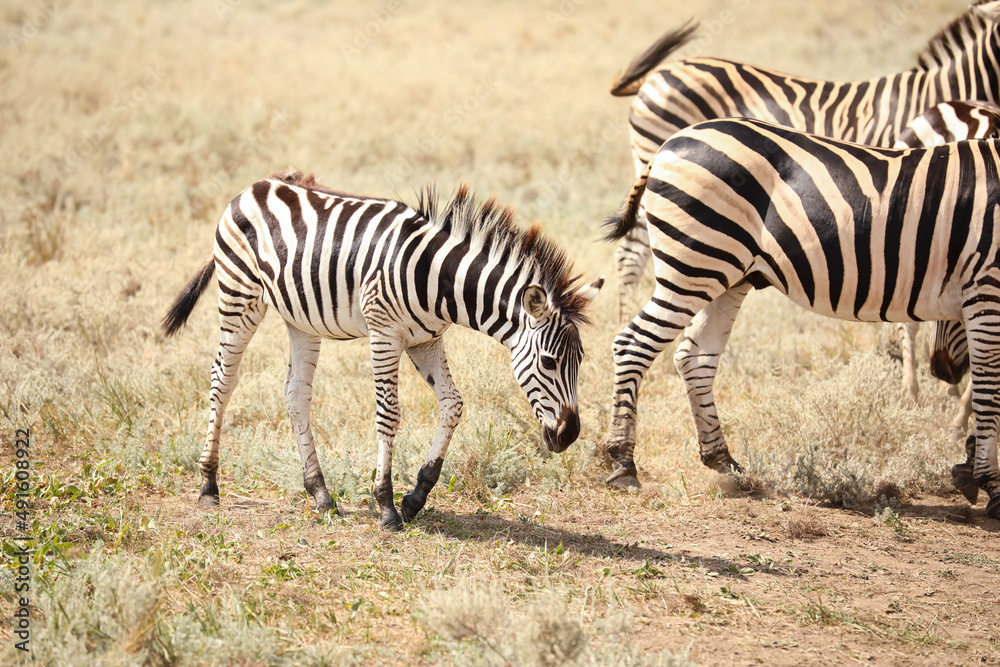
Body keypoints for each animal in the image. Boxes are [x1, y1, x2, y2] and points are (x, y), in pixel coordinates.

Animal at [164, 171, 600, 532]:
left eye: (580, 362)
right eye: (549, 362)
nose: (570, 435)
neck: (439, 281)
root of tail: (256, 184)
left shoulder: (426, 340)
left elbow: (453, 404)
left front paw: (415, 498)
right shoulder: (384, 334)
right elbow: (389, 415)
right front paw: (387, 506)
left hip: (300, 319)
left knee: (296, 395)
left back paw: (320, 493)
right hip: (239, 295)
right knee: (222, 381)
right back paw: (209, 485)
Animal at [600, 117, 1000, 520]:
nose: (943, 370)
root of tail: (671, 142)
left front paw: (971, 468)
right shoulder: (987, 286)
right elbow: (990, 392)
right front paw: (991, 486)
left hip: (730, 273)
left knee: (695, 357)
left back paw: (724, 462)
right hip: (696, 263)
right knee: (633, 344)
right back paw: (623, 463)